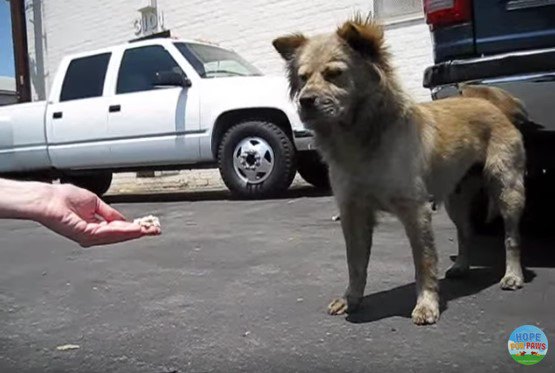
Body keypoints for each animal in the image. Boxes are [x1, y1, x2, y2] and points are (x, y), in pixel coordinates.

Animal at [274, 15, 528, 322]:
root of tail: (489, 102)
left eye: (334, 74)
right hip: (456, 199)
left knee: (511, 237)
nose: (305, 101)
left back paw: (513, 275)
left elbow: (424, 262)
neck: (359, 139)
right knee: (466, 232)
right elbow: (355, 263)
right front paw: (351, 299)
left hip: (507, 190)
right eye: (302, 78)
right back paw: (462, 267)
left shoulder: (415, 211)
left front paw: (427, 304)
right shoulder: (353, 212)